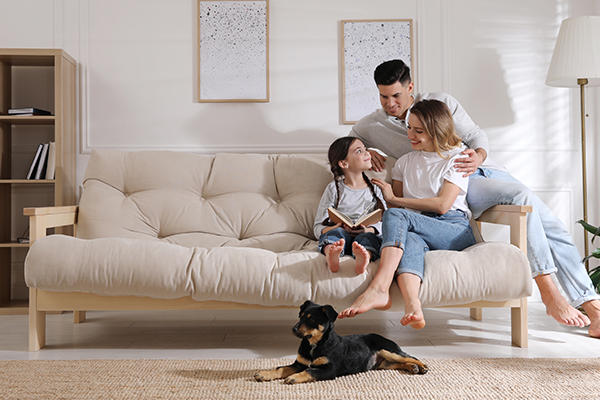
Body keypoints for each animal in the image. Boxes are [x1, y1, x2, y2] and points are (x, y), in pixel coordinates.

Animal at [253, 300, 426, 384]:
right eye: (300, 316)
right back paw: (412, 368)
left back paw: (422, 366)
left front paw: (294, 378)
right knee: (399, 363)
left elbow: (309, 371)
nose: (293, 329)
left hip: (389, 350)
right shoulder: (299, 363)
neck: (314, 344)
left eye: (312, 319)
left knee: (409, 356)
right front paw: (264, 374)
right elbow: (281, 368)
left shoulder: (328, 369)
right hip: (383, 363)